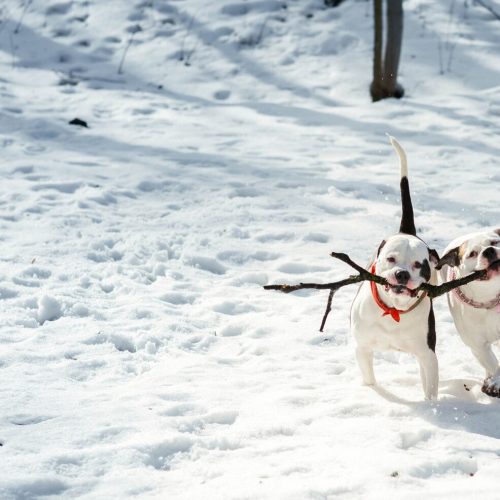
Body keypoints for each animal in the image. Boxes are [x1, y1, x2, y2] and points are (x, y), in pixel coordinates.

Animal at [350, 139, 440, 400]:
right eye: (391, 259)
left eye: (419, 265)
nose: (402, 274)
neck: (394, 311)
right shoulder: (363, 348)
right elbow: (370, 380)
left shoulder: (428, 356)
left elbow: (430, 390)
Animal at [436, 230, 500, 398]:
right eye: (472, 254)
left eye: (495, 242)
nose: (489, 250)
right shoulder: (477, 345)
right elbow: (492, 363)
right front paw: (494, 381)